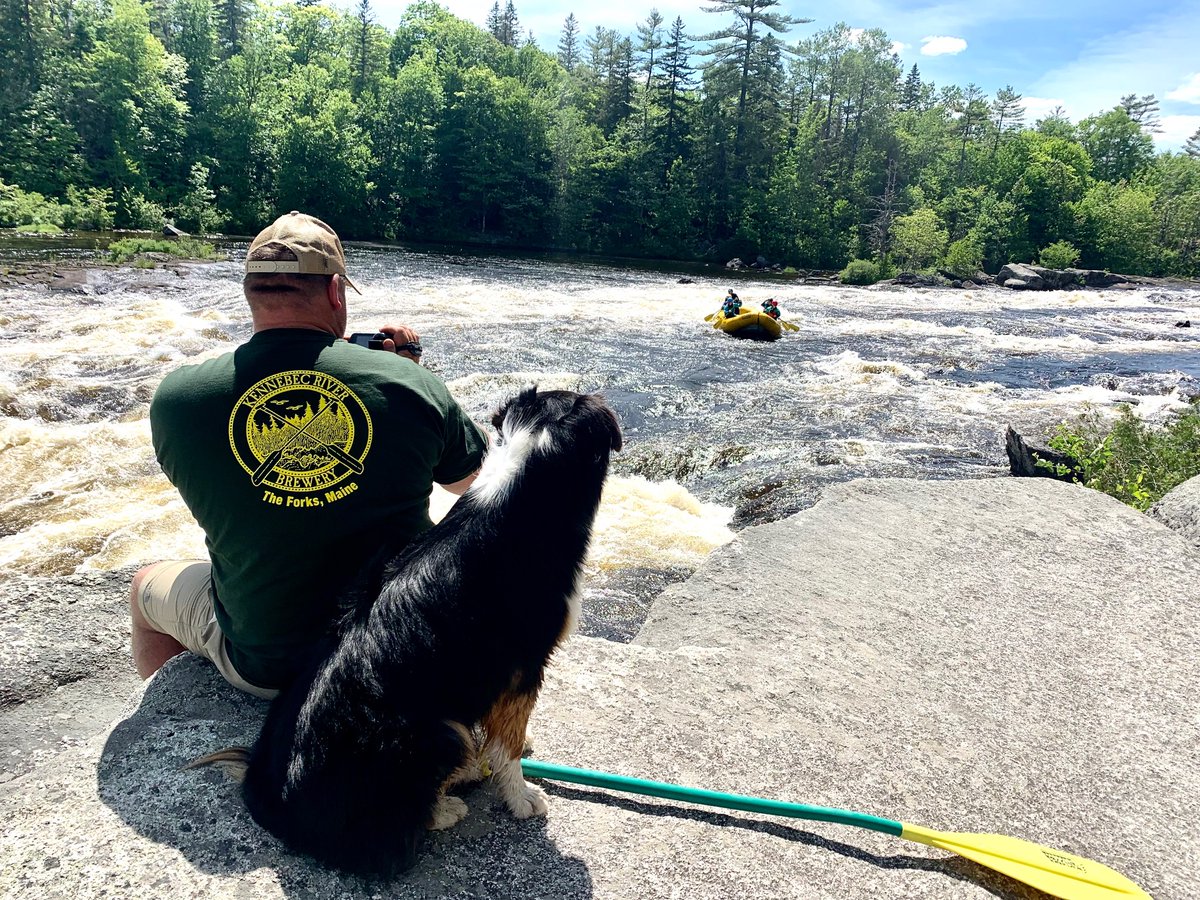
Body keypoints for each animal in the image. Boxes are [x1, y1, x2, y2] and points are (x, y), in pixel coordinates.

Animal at [189, 388, 619, 883]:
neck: (523, 487)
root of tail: (276, 805)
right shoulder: (523, 660)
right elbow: (507, 743)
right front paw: (521, 796)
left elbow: (509, 726)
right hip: (438, 730)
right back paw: (447, 805)